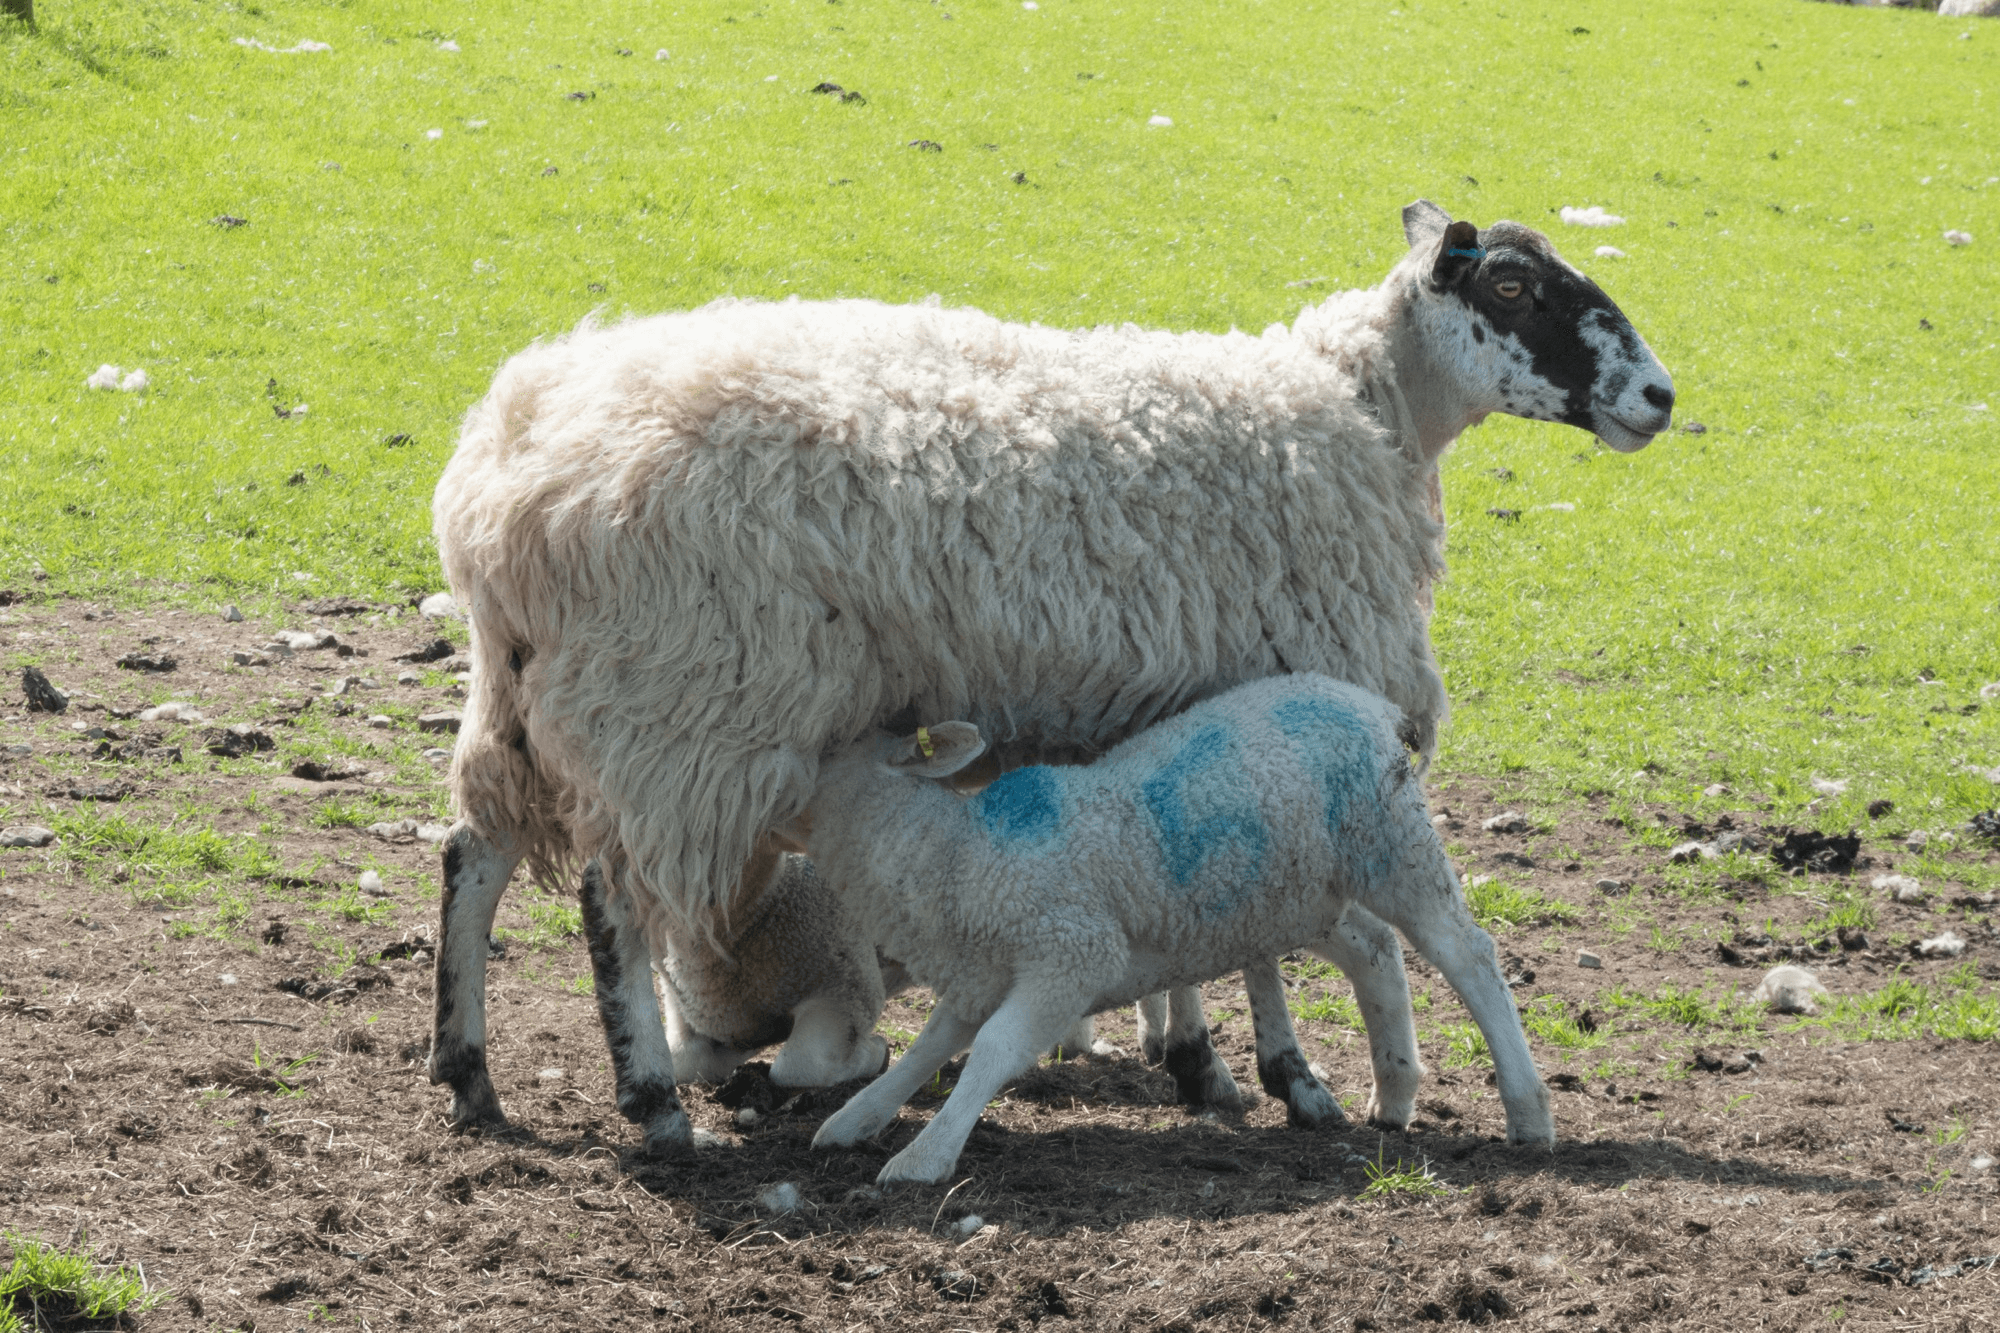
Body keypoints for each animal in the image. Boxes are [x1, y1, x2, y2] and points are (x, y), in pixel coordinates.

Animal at [787, 673, 1555, 1185]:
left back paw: (1527, 1111)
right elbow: (929, 1047)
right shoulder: (982, 973)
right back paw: (1393, 1092)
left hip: (1392, 842)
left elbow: (994, 1050)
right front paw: (857, 1118)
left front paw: (924, 1156)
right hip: (1302, 889)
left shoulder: (1071, 954)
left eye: (822, 755)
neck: (955, 851)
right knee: (1375, 949)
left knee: (1466, 954)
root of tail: (1371, 703)